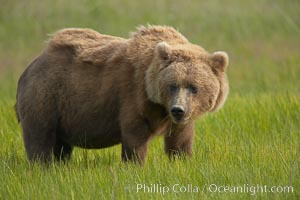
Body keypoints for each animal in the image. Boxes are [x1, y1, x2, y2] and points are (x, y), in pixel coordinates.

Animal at [15, 25, 229, 164]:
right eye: (172, 85)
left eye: (194, 87)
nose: (178, 109)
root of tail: (31, 66)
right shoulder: (133, 96)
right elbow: (135, 135)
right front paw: (135, 164)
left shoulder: (179, 117)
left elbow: (181, 139)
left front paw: (181, 161)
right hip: (46, 95)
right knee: (40, 136)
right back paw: (42, 165)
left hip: (63, 113)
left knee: (61, 145)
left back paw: (61, 164)